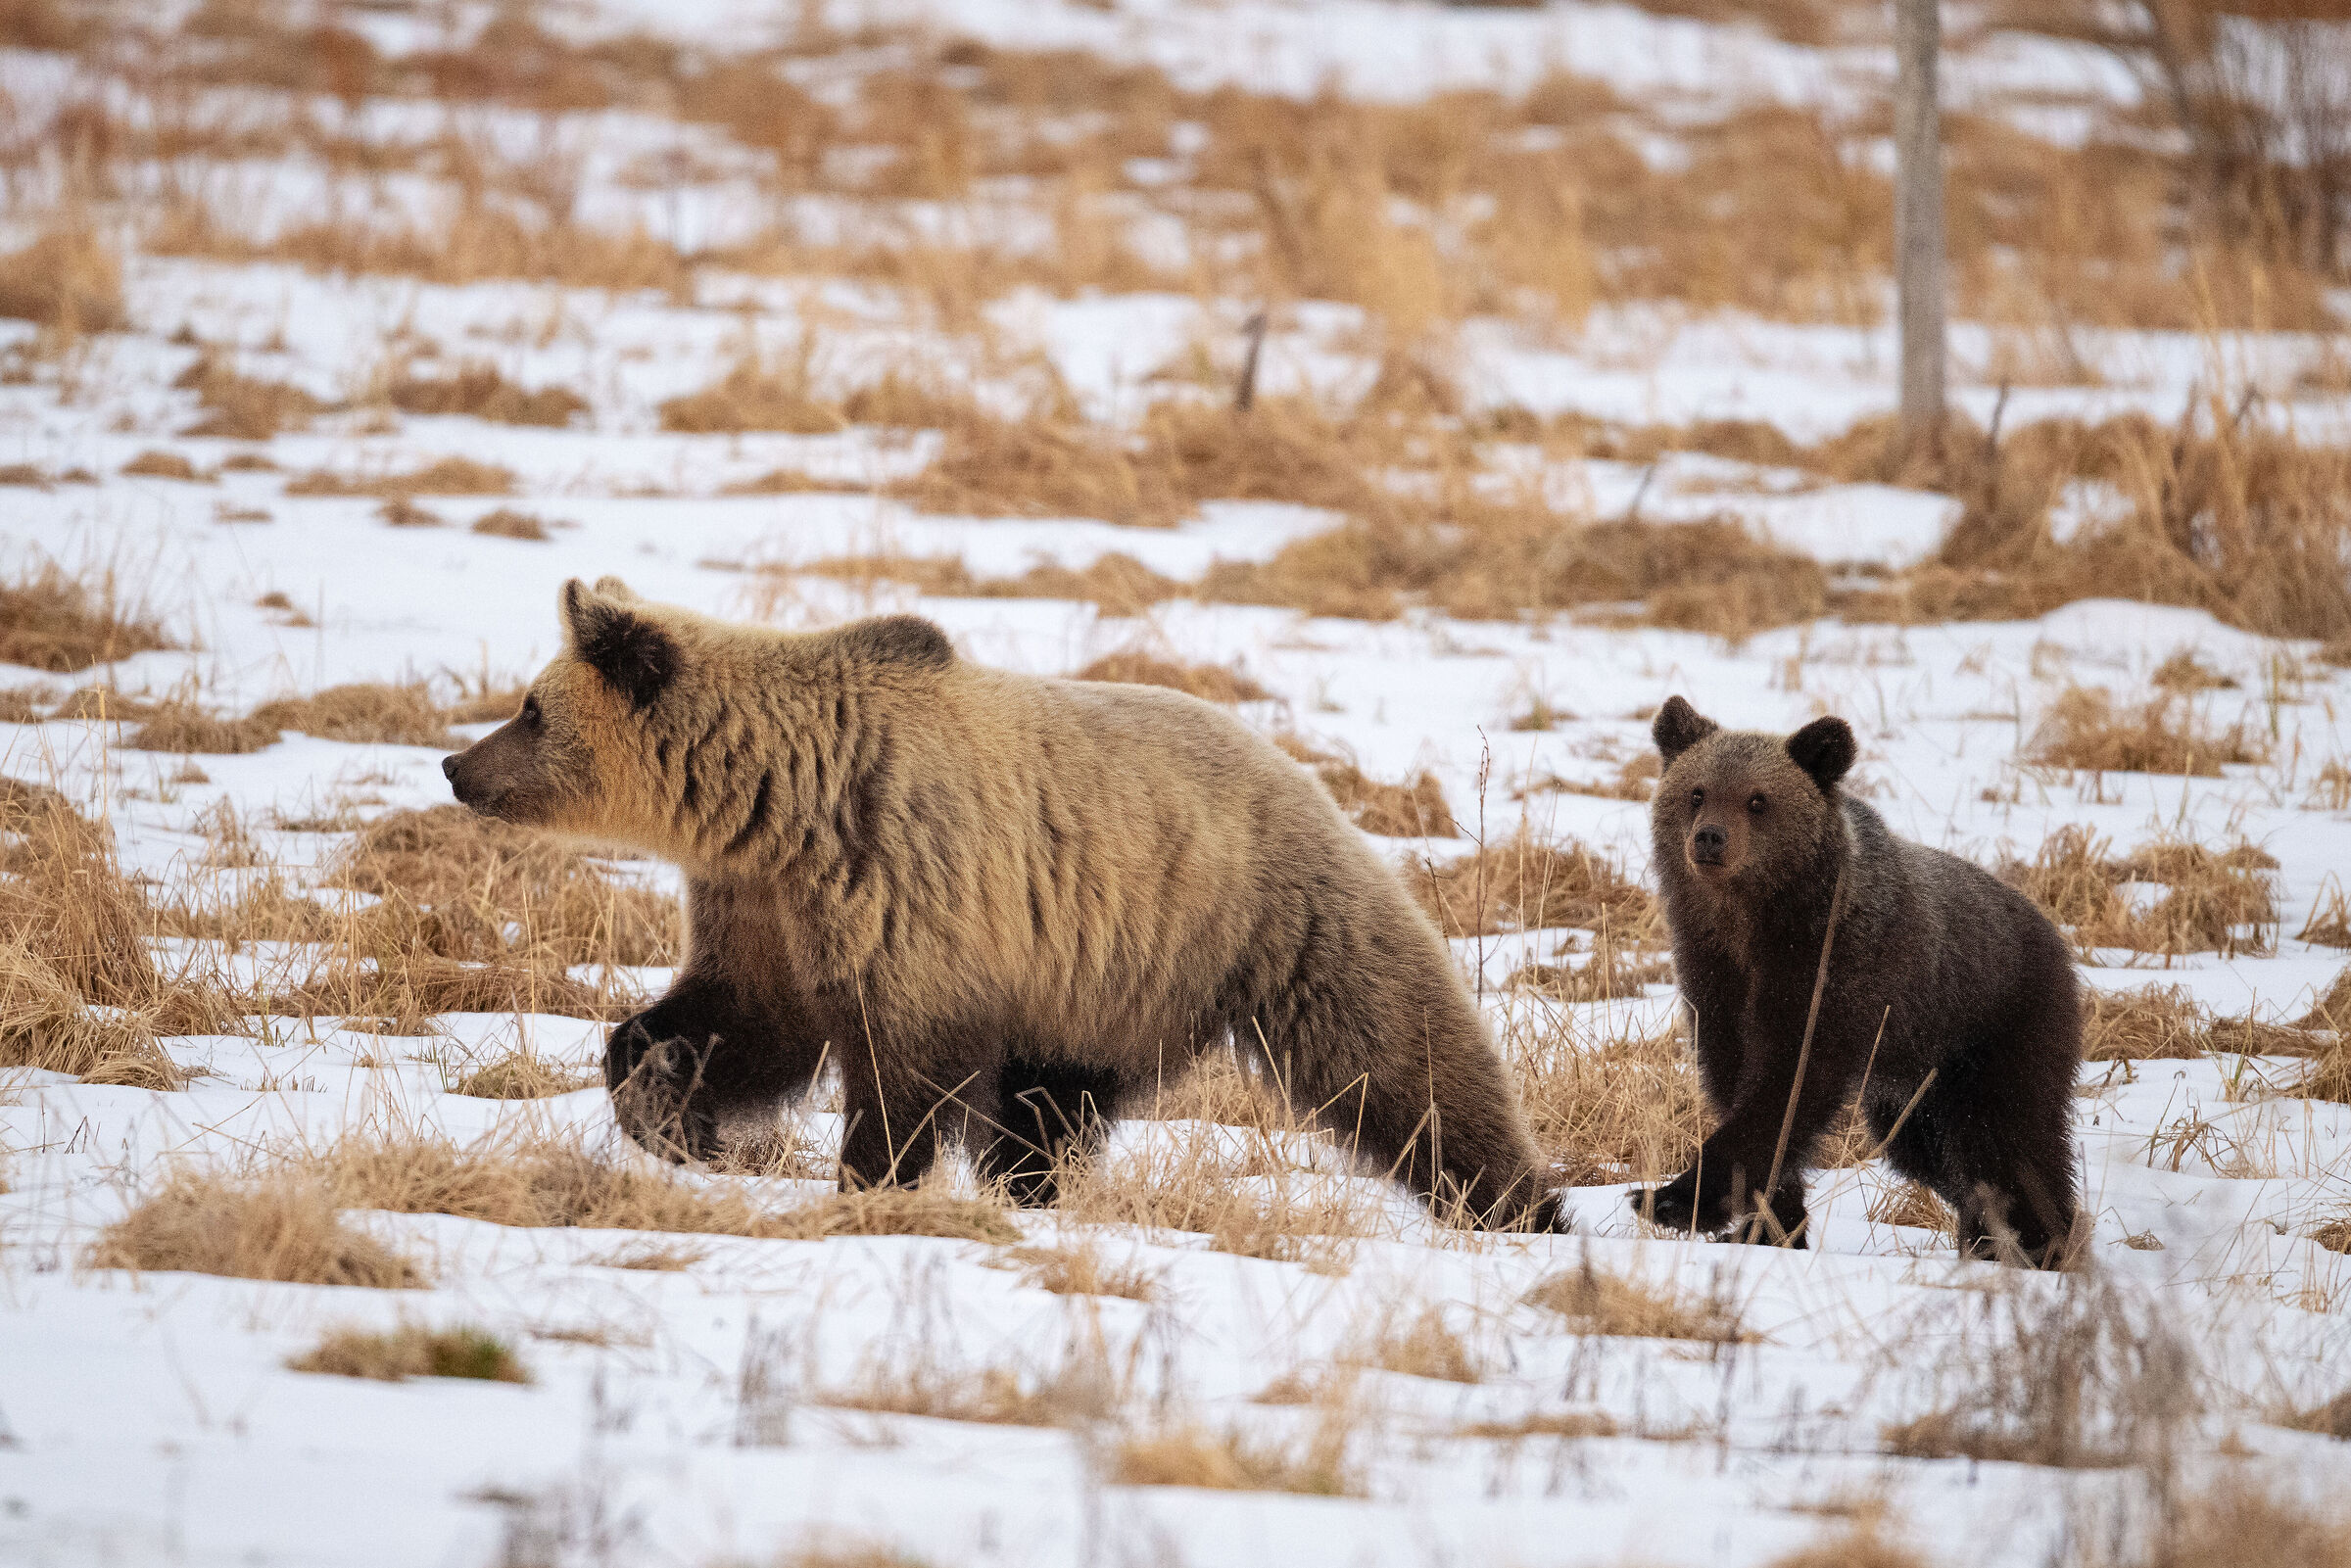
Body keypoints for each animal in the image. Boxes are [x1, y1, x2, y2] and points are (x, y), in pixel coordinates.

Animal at [441, 577, 1558, 1230]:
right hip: (1096, 985)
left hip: (1258, 918)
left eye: (530, 707)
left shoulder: (904, 886)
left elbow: (898, 1070)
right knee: (1048, 1106)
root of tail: (1308, 777)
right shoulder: (766, 907)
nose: (456, 764)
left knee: (1400, 1059)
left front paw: (865, 1181)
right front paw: (667, 1105)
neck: (776, 802)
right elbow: (740, 1018)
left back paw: (1520, 1203)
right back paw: (1034, 1190)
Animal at [1630, 696, 2081, 1268]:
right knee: (1934, 1151)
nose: (1710, 837)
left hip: (1998, 1025)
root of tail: (2053, 933)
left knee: (2008, 1140)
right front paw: (1769, 1225)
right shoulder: (1716, 982)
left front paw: (1673, 1199)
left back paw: (2038, 1246)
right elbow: (1735, 1082)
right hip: (1913, 1081)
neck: (1753, 924)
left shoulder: (1831, 972)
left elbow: (1786, 1089)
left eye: (1757, 800)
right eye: (1696, 792)